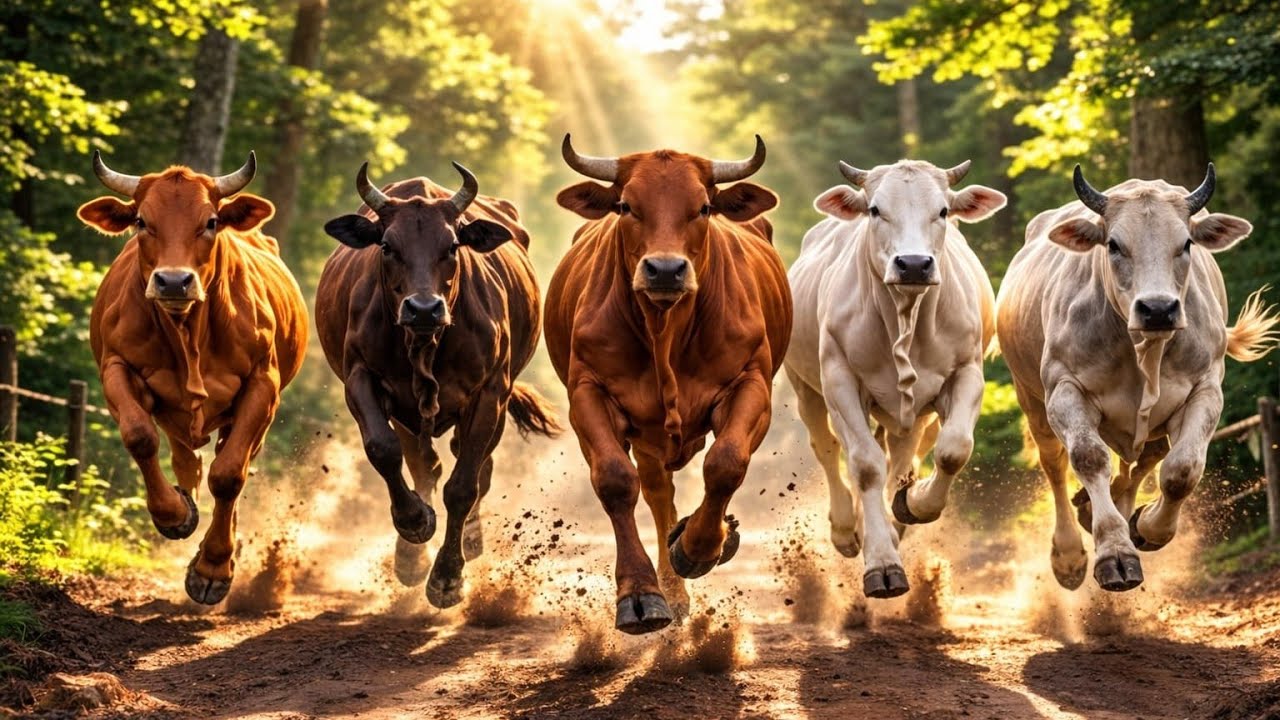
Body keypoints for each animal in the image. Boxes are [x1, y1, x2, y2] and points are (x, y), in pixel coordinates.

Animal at [76, 152, 308, 605]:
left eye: (211, 221)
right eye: (142, 221)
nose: (173, 281)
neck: (189, 334)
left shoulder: (263, 385)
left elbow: (229, 474)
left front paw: (213, 568)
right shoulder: (116, 368)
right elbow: (140, 437)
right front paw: (174, 514)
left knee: (230, 464)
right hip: (176, 416)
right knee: (188, 460)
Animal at [315, 162, 560, 608]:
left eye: (452, 246)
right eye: (387, 246)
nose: (424, 308)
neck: (425, 344)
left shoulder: (490, 394)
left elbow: (463, 486)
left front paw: (447, 577)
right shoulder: (360, 378)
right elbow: (384, 451)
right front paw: (414, 523)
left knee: (475, 467)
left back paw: (471, 540)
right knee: (424, 467)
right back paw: (410, 558)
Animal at [546, 135, 792, 634]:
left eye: (703, 208)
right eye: (625, 206)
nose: (663, 270)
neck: (666, 333)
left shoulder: (752, 384)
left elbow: (726, 463)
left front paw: (697, 549)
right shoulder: (588, 394)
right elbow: (615, 481)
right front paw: (641, 595)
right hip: (648, 438)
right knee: (659, 496)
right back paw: (673, 592)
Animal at [785, 159, 1007, 598]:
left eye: (943, 211)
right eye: (875, 210)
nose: (915, 264)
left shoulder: (966, 373)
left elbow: (953, 450)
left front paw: (912, 505)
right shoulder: (839, 381)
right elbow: (866, 465)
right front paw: (882, 564)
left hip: (913, 415)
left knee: (903, 457)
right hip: (806, 388)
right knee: (828, 448)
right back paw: (847, 528)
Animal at [997, 164, 1278, 592]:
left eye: (1186, 243)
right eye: (1113, 245)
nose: (1158, 309)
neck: (1142, 351)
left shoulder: (1205, 390)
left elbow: (1181, 470)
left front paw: (1145, 527)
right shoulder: (1064, 390)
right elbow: (1089, 457)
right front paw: (1114, 553)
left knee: (1145, 460)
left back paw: (1106, 511)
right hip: (1030, 397)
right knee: (1054, 465)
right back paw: (1069, 553)